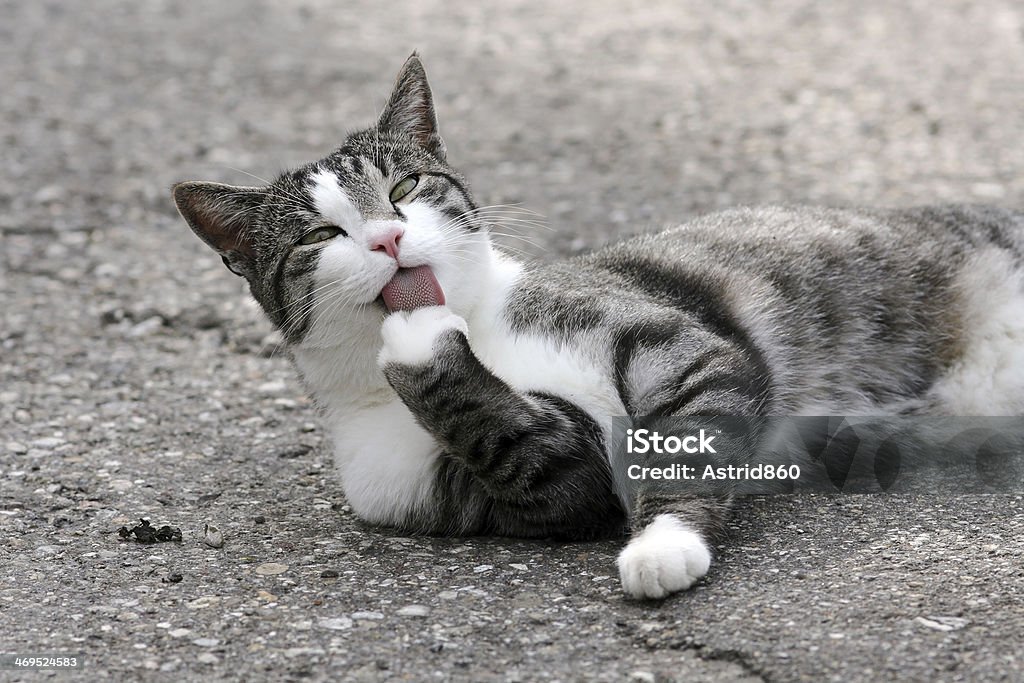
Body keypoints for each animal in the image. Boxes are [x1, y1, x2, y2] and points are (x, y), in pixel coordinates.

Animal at [172, 53, 1024, 598]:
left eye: (406, 186)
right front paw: (420, 349)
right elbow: (539, 452)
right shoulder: (524, 484)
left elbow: (685, 443)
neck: (481, 329)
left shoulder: (679, 346)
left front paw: (663, 544)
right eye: (320, 236)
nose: (386, 239)